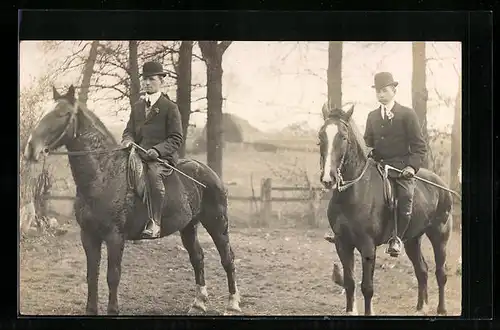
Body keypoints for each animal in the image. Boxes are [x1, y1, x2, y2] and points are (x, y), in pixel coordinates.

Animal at [23, 85, 242, 314]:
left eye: (63, 114)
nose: (30, 149)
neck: (103, 175)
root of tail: (209, 173)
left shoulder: (115, 237)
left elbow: (113, 276)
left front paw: (113, 310)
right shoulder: (88, 236)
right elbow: (92, 275)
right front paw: (91, 309)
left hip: (217, 224)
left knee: (227, 258)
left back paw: (233, 303)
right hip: (188, 226)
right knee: (197, 258)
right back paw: (199, 302)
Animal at [320, 104, 454, 316]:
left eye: (343, 137)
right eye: (321, 135)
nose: (328, 179)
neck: (354, 191)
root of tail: (441, 185)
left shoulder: (367, 246)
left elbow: (367, 287)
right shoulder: (342, 243)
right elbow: (349, 282)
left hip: (439, 236)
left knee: (441, 272)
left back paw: (441, 309)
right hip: (412, 240)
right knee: (422, 270)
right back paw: (421, 307)